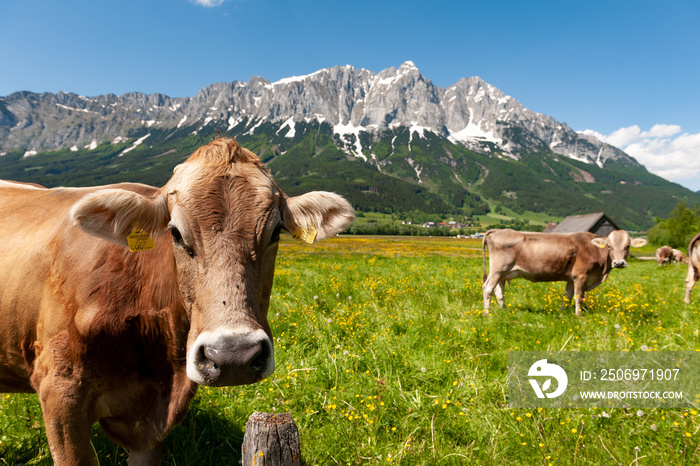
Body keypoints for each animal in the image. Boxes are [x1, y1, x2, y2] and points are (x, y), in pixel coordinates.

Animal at [482, 228, 652, 314]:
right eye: (609, 246)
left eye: (628, 245)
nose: (619, 263)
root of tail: (498, 230)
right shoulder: (580, 276)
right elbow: (578, 297)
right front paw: (579, 315)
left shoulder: (571, 278)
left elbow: (567, 297)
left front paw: (562, 313)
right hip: (498, 269)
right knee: (488, 288)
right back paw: (487, 314)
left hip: (503, 273)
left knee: (499, 291)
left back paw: (504, 312)